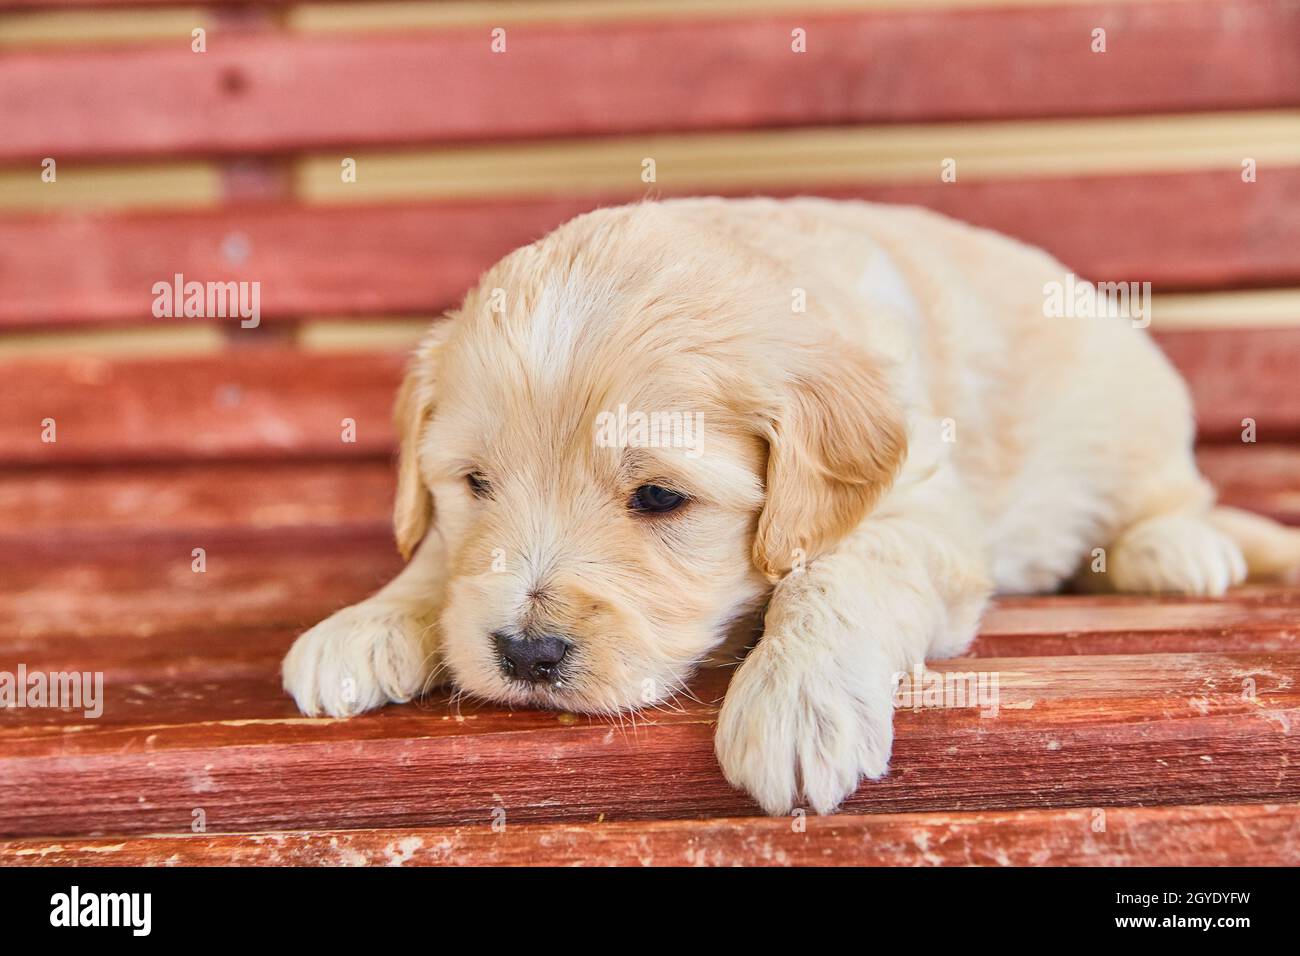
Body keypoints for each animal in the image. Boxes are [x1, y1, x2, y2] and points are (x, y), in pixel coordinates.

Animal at [282, 196, 1300, 816]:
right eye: (475, 486)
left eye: (659, 497)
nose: (527, 655)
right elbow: (435, 558)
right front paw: (368, 621)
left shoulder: (923, 510)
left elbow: (840, 572)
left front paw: (798, 699)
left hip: (1134, 414)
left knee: (1178, 493)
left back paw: (1174, 549)